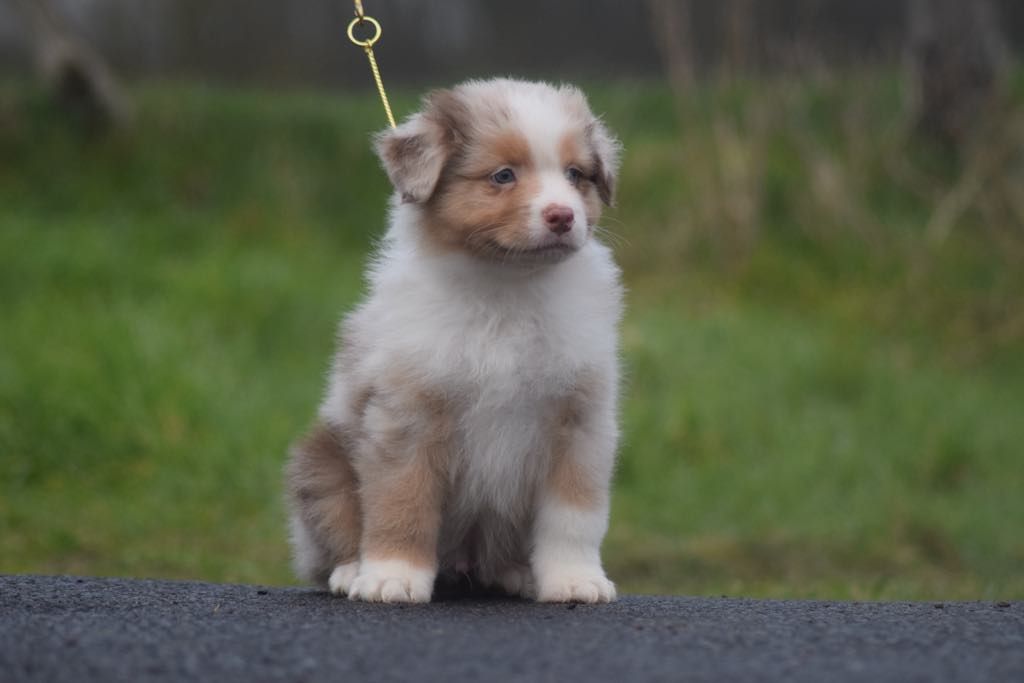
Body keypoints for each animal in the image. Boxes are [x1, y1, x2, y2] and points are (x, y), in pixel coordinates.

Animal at [286, 80, 622, 602]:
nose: (563, 216)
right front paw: (392, 576)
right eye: (503, 175)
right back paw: (350, 570)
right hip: (322, 461)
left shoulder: (580, 421)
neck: (505, 288)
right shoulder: (407, 416)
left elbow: (574, 514)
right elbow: (401, 501)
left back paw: (517, 572)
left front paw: (574, 579)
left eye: (575, 175)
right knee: (330, 534)